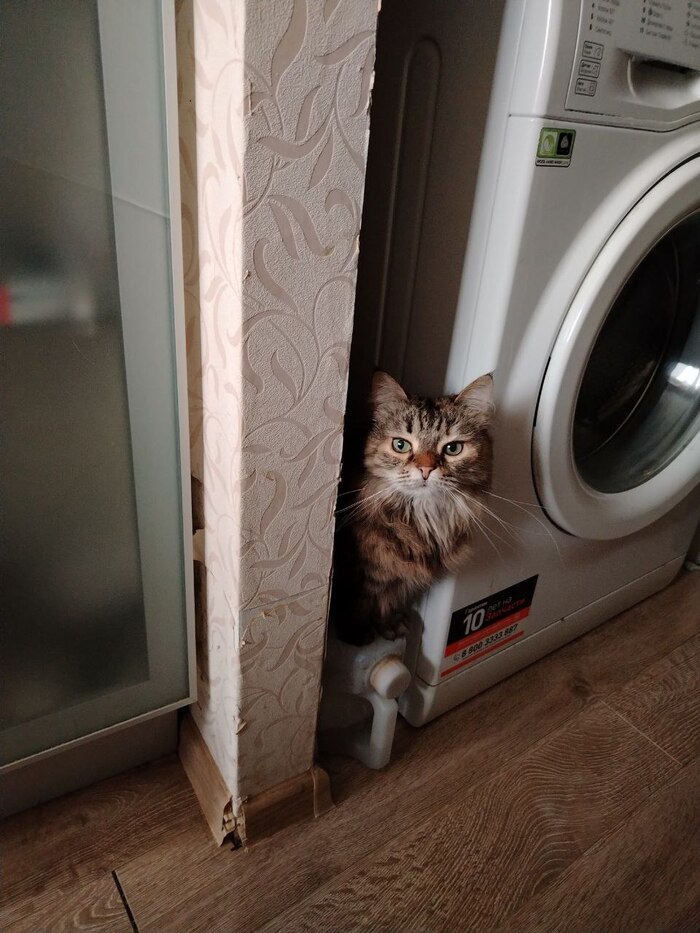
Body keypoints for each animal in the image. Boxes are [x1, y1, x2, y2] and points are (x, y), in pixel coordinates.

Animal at [332, 370, 494, 644]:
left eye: (453, 449)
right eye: (401, 445)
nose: (426, 469)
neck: (422, 518)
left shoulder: (402, 579)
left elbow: (388, 603)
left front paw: (389, 626)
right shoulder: (362, 573)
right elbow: (359, 602)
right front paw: (358, 635)